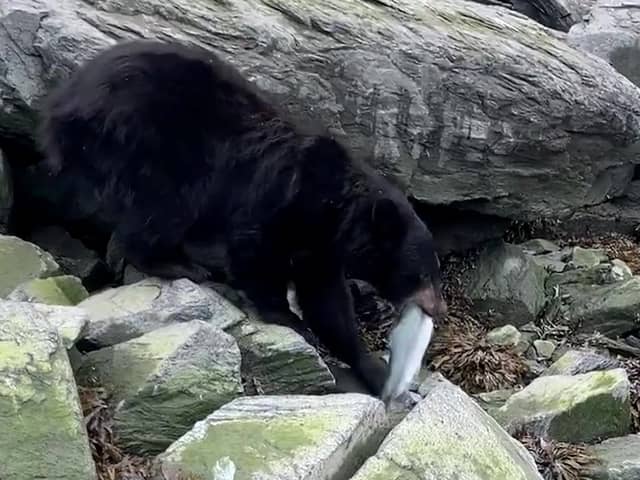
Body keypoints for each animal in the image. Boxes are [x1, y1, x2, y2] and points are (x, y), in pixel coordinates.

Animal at [37, 39, 448, 396]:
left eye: (434, 272)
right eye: (421, 274)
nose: (439, 310)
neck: (336, 210)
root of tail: (63, 102)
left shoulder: (322, 249)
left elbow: (328, 302)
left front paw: (373, 369)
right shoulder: (283, 200)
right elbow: (254, 250)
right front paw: (288, 317)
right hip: (152, 143)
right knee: (165, 205)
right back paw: (179, 264)